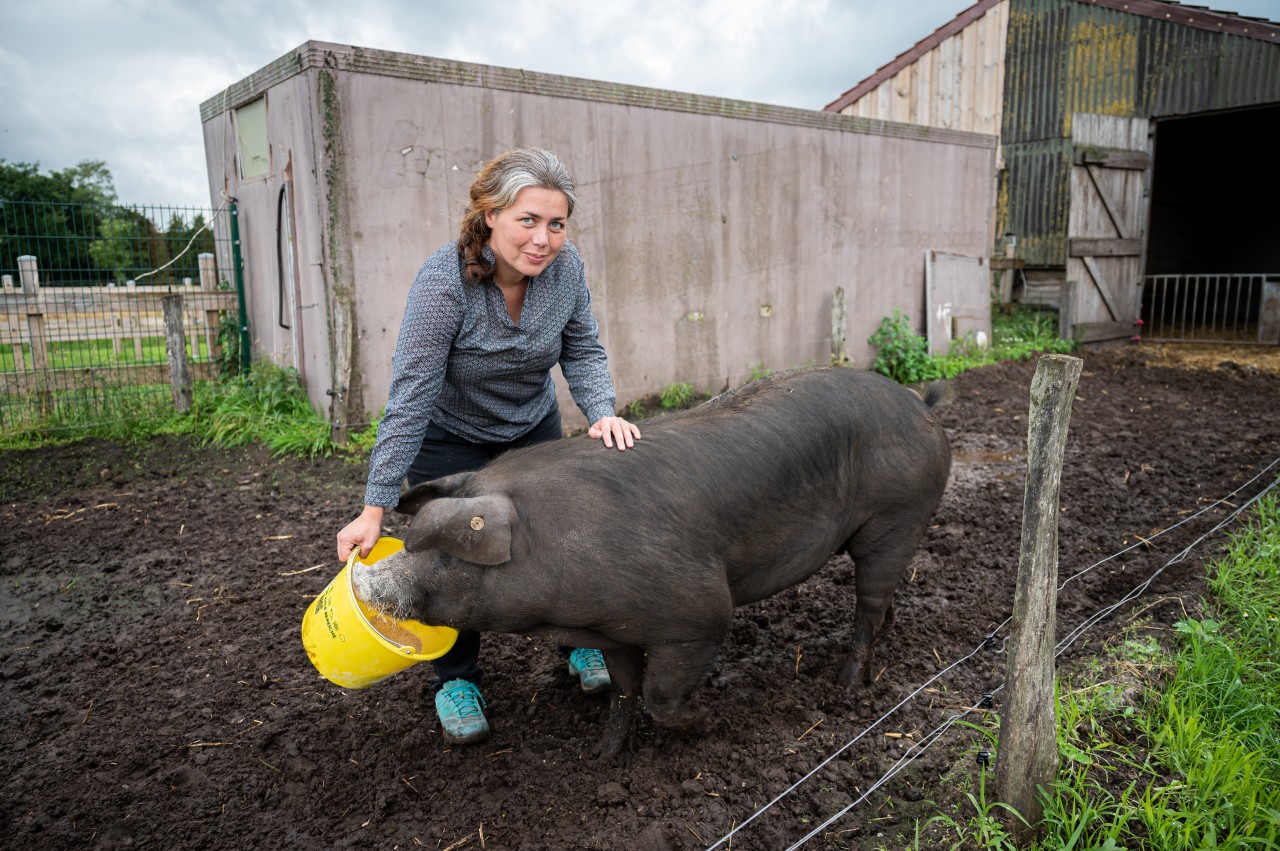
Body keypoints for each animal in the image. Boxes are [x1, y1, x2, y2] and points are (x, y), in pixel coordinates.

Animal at [353, 365, 952, 757]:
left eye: (449, 554)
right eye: (410, 544)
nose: (367, 578)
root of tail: (921, 406)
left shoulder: (700, 616)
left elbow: (659, 695)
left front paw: (711, 724)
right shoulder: (612, 631)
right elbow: (623, 689)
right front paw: (604, 757)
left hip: (899, 513)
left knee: (869, 600)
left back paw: (848, 689)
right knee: (884, 597)